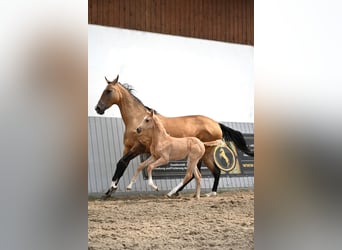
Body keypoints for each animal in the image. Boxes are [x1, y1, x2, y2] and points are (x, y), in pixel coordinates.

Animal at [95, 75, 252, 198]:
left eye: (108, 91)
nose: (98, 108)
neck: (137, 119)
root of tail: (217, 124)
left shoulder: (139, 147)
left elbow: (122, 162)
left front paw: (112, 188)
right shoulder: (127, 148)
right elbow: (122, 165)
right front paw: (110, 190)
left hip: (204, 154)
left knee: (205, 172)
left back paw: (198, 192)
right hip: (199, 156)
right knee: (200, 173)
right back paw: (188, 192)